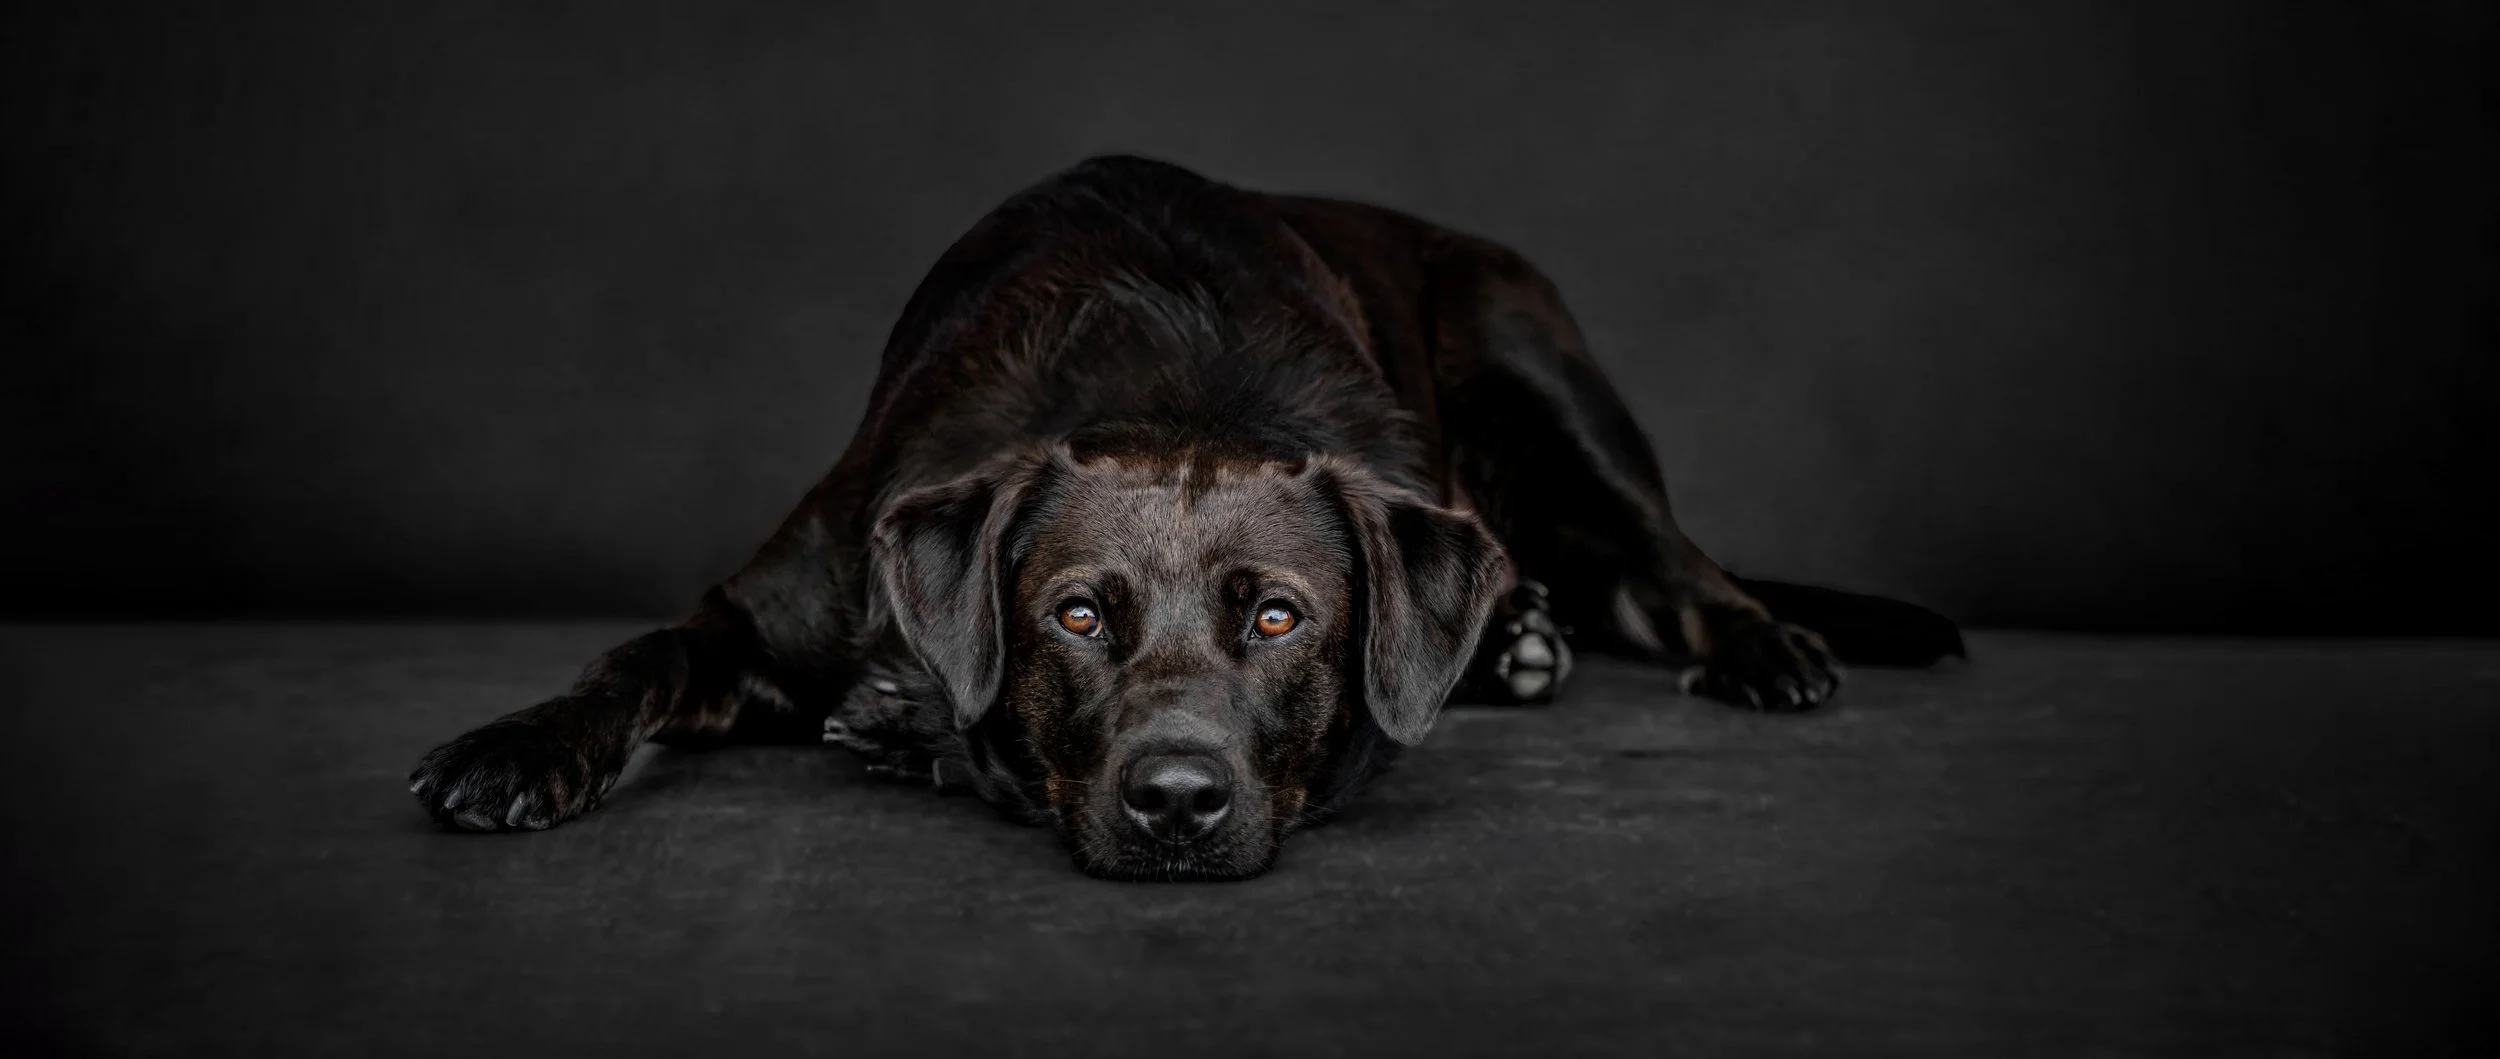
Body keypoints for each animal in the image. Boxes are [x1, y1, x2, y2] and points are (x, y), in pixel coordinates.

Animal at [409, 155, 1963, 880]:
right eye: (1073, 613)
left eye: (1278, 618)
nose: (1173, 801)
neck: (1165, 369)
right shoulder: (766, 604)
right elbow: (633, 658)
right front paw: (516, 746)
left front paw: (918, 732)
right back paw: (1521, 633)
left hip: (1532, 352)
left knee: (1666, 556)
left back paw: (1751, 642)